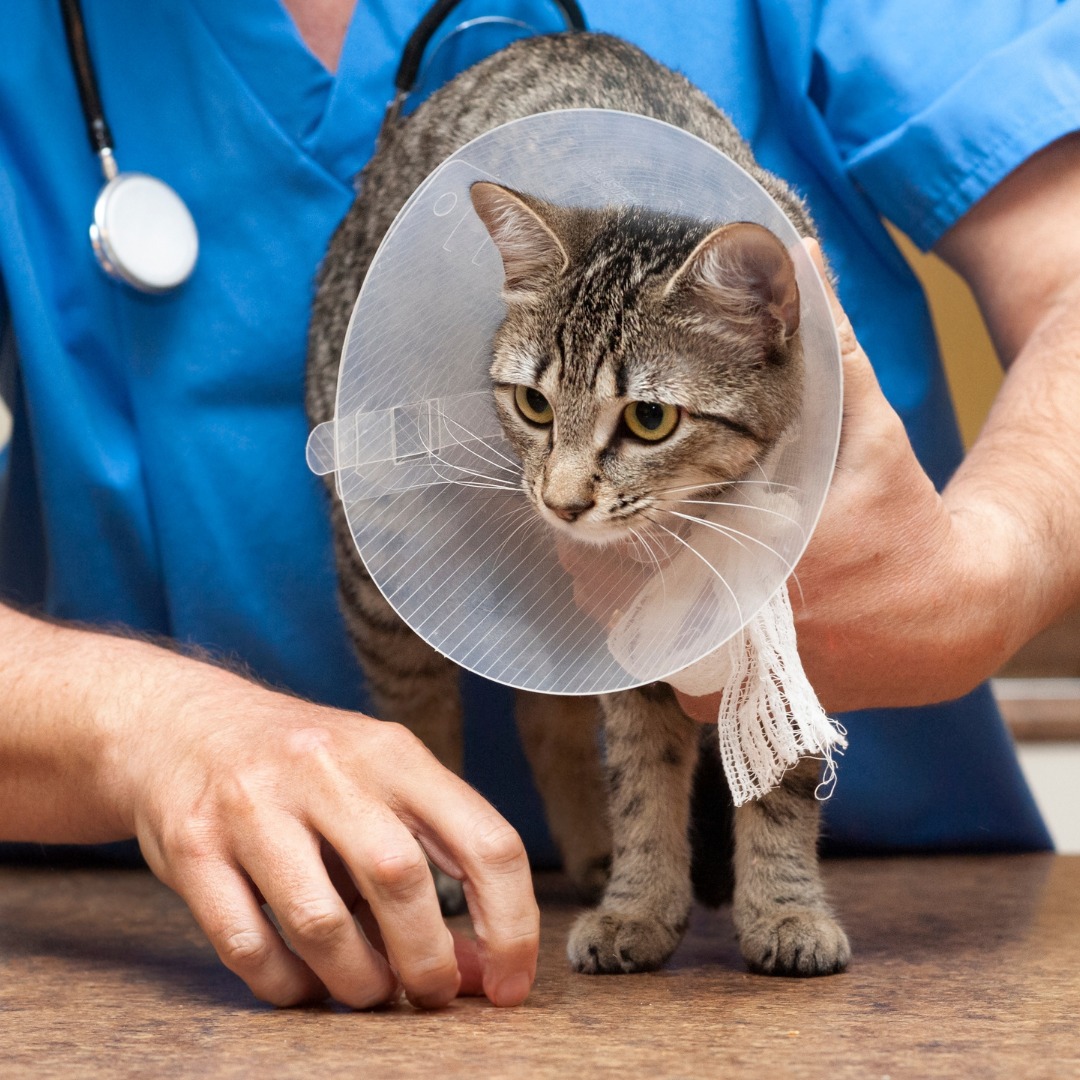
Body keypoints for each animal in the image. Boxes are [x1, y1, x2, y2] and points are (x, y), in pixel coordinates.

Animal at [306, 31, 851, 980]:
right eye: (533, 405)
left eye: (649, 419)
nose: (559, 502)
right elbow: (643, 774)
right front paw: (639, 905)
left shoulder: (790, 627)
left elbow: (778, 776)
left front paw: (784, 910)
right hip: (383, 565)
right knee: (415, 705)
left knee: (541, 708)